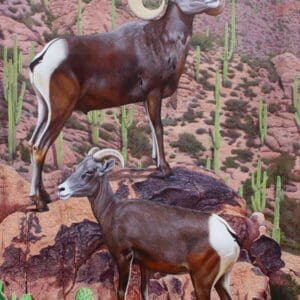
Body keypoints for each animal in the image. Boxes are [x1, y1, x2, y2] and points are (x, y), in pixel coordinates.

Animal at [28, 0, 225, 211]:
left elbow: (151, 128)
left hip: (45, 111)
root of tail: (44, 57)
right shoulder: (154, 94)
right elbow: (158, 128)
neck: (162, 42)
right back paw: (40, 203)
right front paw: (166, 171)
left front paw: (156, 163)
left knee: (32, 143)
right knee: (40, 147)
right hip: (61, 111)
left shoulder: (147, 100)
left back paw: (45, 197)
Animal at [58, 148, 240, 300]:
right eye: (78, 167)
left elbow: (121, 292)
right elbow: (144, 291)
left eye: (89, 171)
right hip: (221, 281)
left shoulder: (124, 258)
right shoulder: (145, 265)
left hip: (202, 281)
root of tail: (227, 232)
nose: (62, 189)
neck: (112, 211)